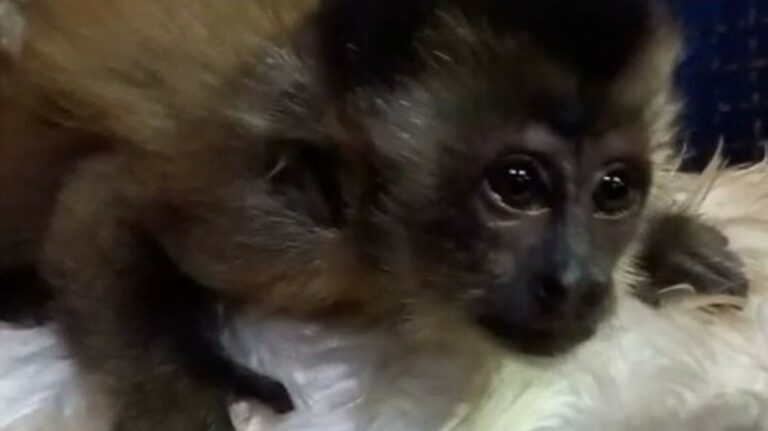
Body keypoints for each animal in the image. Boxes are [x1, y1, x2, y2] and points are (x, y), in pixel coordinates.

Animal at [0, 0, 750, 430]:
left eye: (614, 190)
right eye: (517, 184)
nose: (576, 281)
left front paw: (664, 240)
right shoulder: (257, 214)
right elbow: (98, 198)